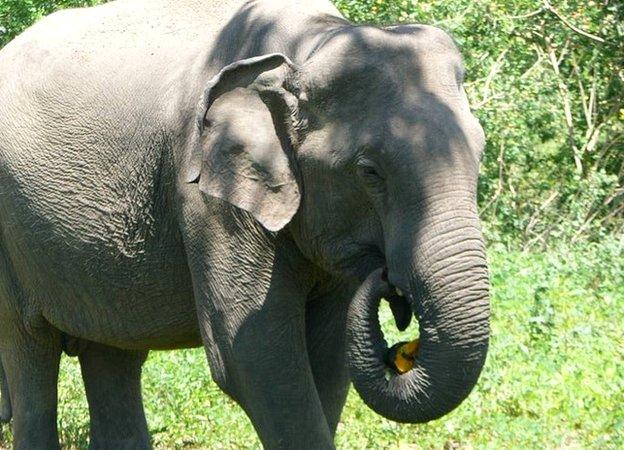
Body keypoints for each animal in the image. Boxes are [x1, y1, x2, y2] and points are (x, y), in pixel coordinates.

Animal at [0, 0, 488, 448]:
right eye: (369, 171)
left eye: (480, 152)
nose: (388, 280)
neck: (310, 47)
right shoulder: (207, 196)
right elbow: (252, 358)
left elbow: (329, 358)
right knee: (30, 350)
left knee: (113, 353)